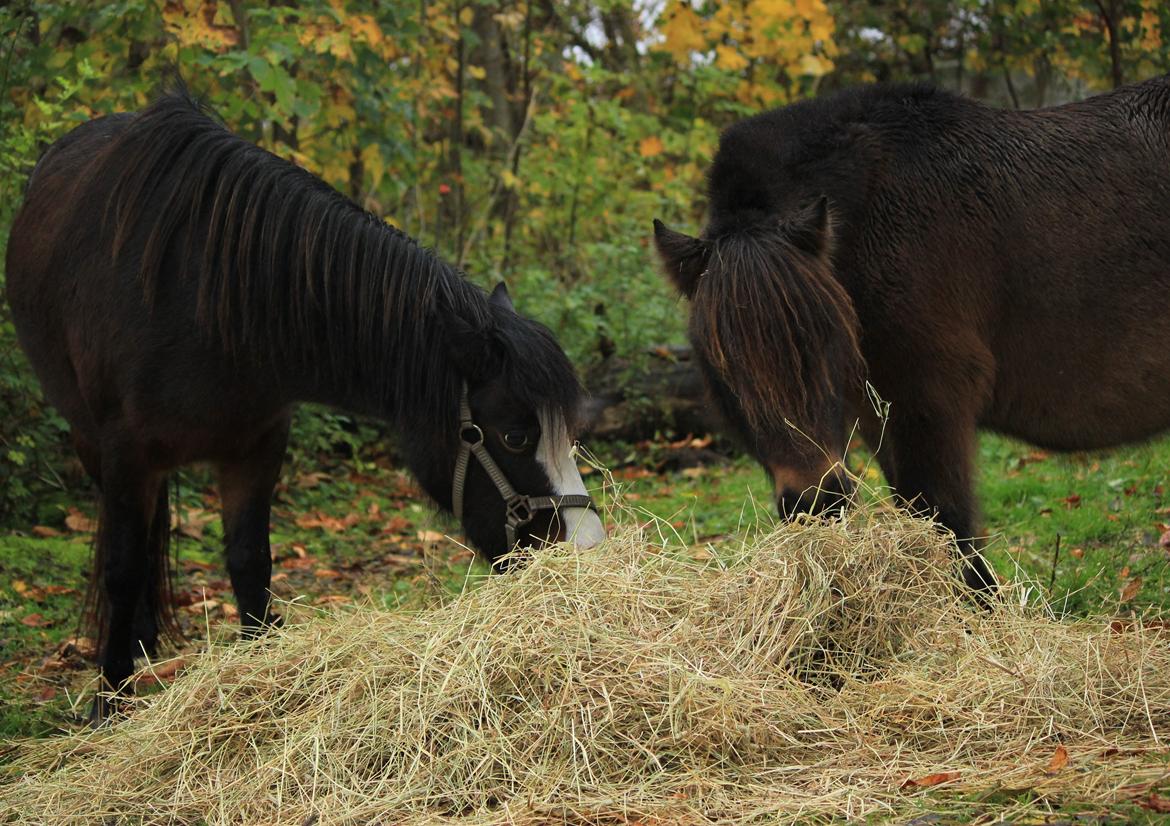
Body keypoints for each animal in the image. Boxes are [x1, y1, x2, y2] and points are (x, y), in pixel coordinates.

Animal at [2, 85, 603, 716]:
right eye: (515, 436)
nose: (585, 553)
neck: (206, 296)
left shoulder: (257, 446)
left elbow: (250, 563)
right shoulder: (125, 453)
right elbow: (120, 569)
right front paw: (109, 702)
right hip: (89, 441)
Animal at [655, 75, 1170, 592]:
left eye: (825, 339)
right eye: (720, 365)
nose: (816, 502)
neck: (870, 212)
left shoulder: (932, 410)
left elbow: (951, 532)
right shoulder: (881, 421)